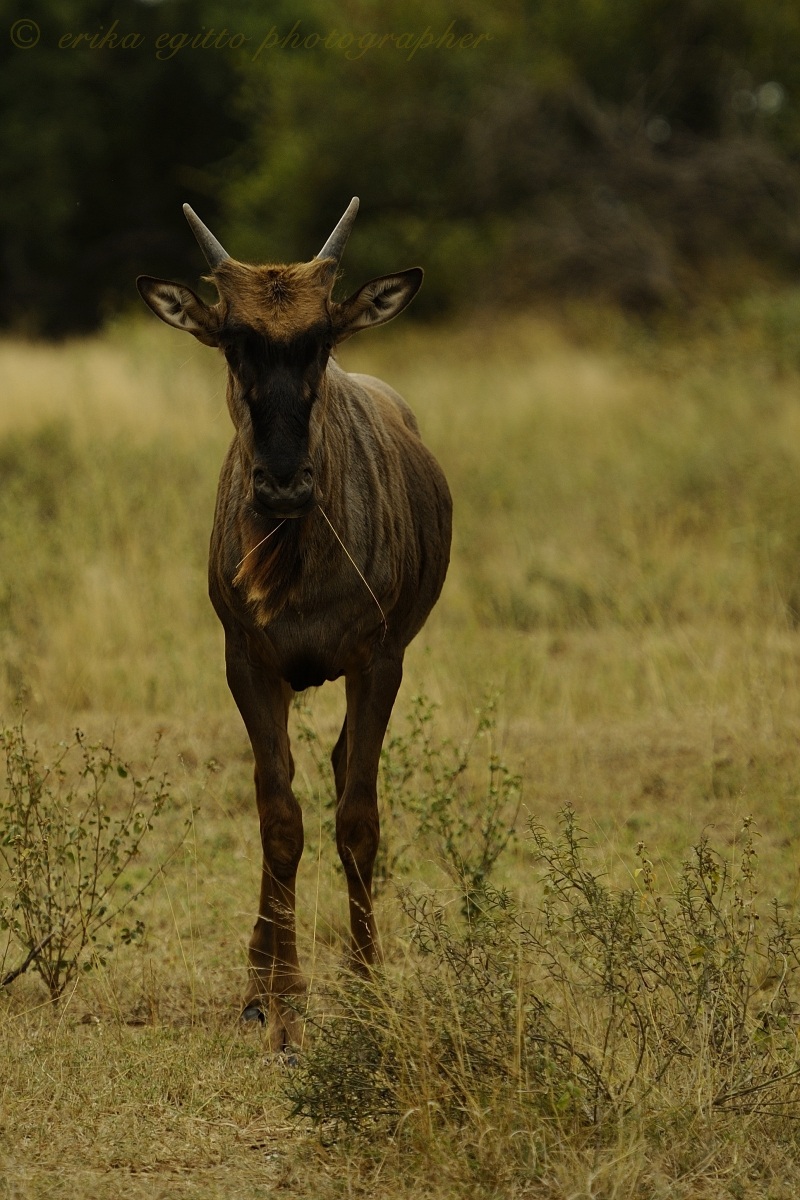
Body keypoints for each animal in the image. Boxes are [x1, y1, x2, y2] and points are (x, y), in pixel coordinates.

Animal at [137, 199, 452, 1048]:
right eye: (233, 339)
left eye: (323, 338)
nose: (282, 487)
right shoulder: (248, 663)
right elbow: (279, 818)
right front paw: (277, 1002)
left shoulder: (380, 662)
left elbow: (358, 817)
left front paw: (366, 987)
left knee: (342, 772)